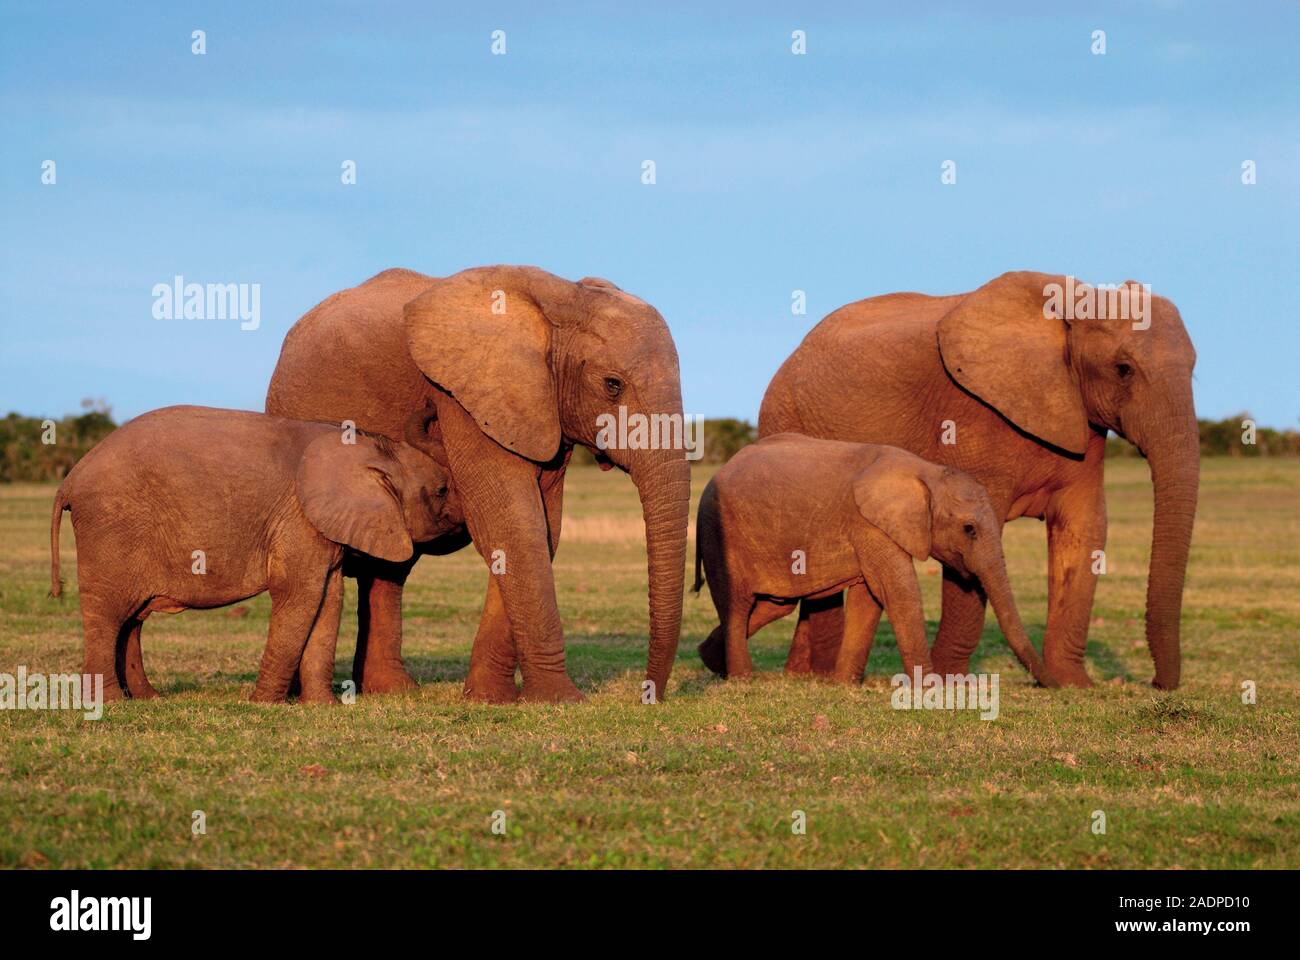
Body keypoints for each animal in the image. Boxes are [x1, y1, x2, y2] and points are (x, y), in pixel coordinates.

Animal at [49, 405, 456, 703]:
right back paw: (112, 702)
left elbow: (328, 601)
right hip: (110, 526)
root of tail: (70, 478)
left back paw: (150, 699)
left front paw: (321, 707)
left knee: (131, 619)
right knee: (109, 615)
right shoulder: (299, 519)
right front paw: (264, 704)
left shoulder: (320, 529)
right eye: (442, 491)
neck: (368, 446)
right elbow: (299, 596)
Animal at [265, 266, 691, 703]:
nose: (647, 697)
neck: (563, 299)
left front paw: (491, 699)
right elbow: (515, 525)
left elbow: (540, 529)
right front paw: (560, 699)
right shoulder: (460, 396)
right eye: (612, 384)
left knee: (390, 568)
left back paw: (392, 690)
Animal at [693, 434, 1056, 686]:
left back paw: (710, 661)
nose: (1054, 686)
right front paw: (930, 689)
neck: (926, 471)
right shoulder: (870, 524)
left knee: (773, 605)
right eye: (969, 529)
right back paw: (740, 678)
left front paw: (844, 685)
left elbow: (868, 598)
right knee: (738, 605)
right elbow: (898, 591)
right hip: (719, 533)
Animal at [760, 271, 1198, 689]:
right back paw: (815, 675)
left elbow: (1084, 529)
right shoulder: (970, 415)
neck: (1075, 298)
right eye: (1123, 369)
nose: (1154, 683)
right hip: (785, 418)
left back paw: (801, 674)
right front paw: (951, 681)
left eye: (1195, 370)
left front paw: (1075, 684)